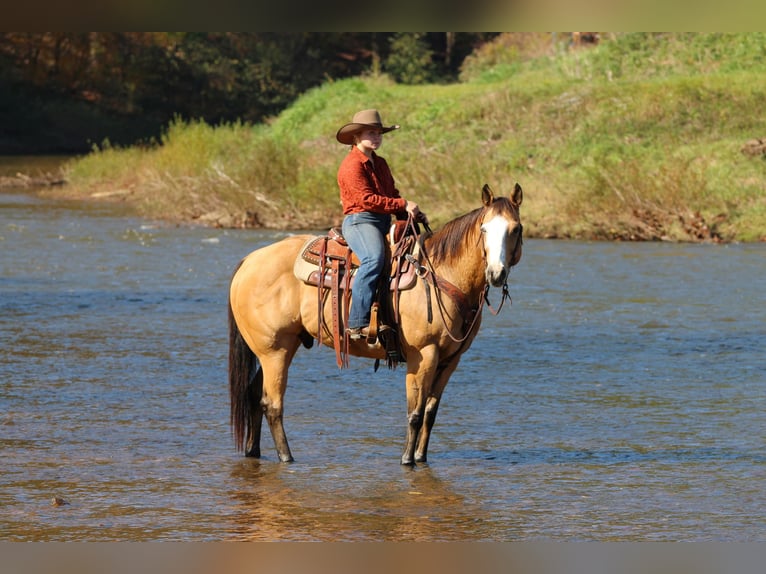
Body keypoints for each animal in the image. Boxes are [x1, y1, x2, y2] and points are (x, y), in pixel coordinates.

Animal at [228, 183, 523, 465]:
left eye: (516, 228)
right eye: (484, 229)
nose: (496, 273)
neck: (439, 274)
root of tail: (249, 261)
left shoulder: (450, 360)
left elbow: (430, 412)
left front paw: (420, 457)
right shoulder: (423, 355)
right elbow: (415, 413)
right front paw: (407, 460)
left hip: (272, 350)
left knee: (253, 395)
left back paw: (254, 451)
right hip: (275, 351)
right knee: (272, 404)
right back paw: (286, 457)